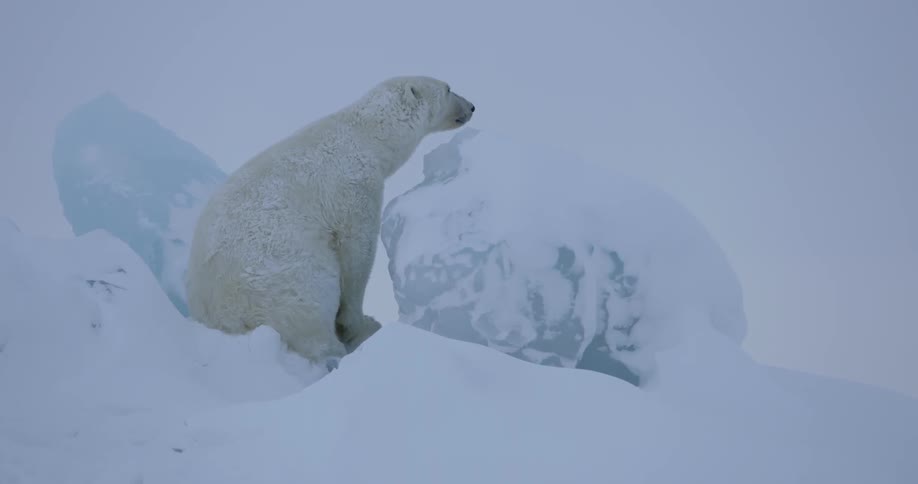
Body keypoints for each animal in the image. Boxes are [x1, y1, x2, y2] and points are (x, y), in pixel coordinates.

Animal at [184, 76, 475, 368]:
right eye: (448, 89)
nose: (472, 107)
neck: (365, 135)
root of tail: (220, 317)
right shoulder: (353, 187)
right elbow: (357, 250)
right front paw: (358, 322)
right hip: (282, 278)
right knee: (310, 308)